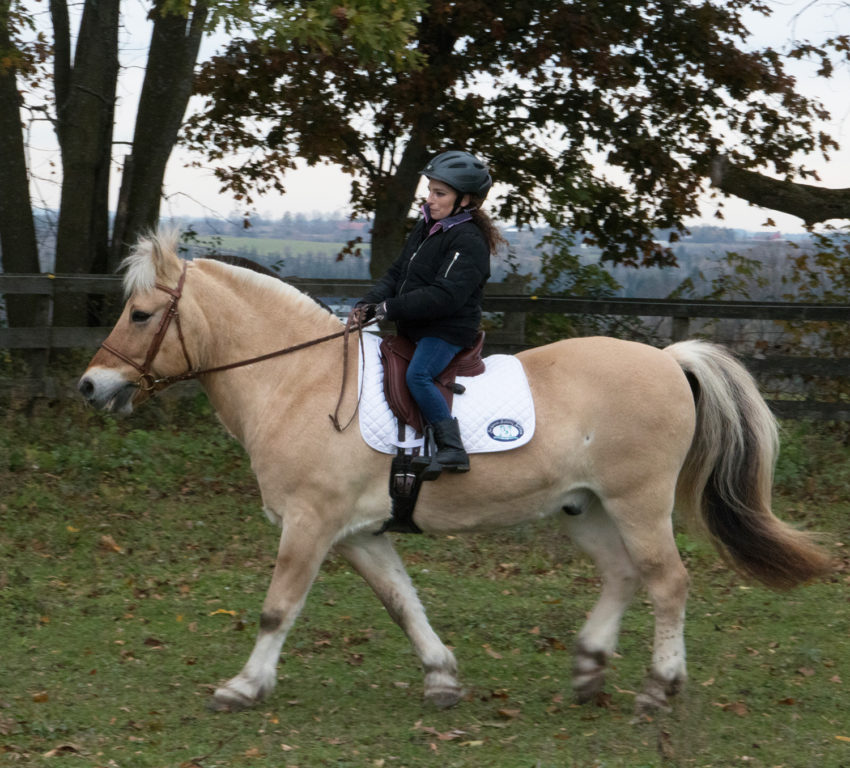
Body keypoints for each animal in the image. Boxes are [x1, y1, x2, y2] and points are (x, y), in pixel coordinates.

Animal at [78, 228, 828, 712]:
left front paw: (242, 686)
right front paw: (441, 677)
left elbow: (277, 608)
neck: (297, 380)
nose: (90, 387)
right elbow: (402, 603)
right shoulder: (359, 533)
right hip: (584, 506)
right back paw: (589, 669)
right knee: (621, 575)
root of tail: (670, 360)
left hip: (638, 503)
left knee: (666, 581)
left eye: (141, 314)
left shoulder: (311, 524)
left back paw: (658, 688)